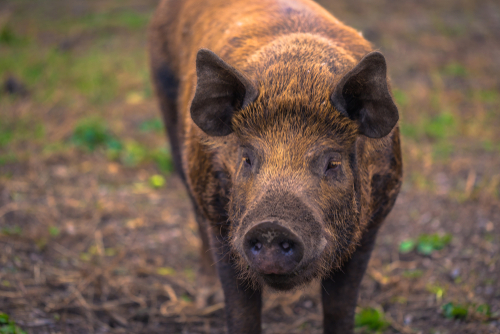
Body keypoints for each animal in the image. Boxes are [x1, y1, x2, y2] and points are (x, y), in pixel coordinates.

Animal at [148, 0, 402, 332]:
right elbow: (242, 313)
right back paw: (206, 300)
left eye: (333, 163)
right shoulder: (223, 227)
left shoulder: (372, 224)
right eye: (246, 159)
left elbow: (340, 309)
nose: (272, 226)